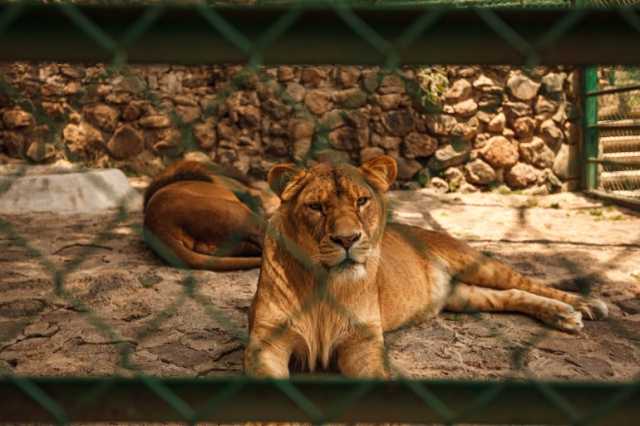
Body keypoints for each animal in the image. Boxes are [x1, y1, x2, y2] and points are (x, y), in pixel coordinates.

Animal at [246, 155, 608, 378]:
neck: (324, 283)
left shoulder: (363, 343)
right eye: (316, 207)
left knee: (526, 282)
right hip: (463, 296)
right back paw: (563, 315)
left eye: (362, 201)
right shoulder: (267, 343)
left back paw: (583, 306)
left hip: (476, 263)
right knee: (512, 295)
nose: (347, 239)